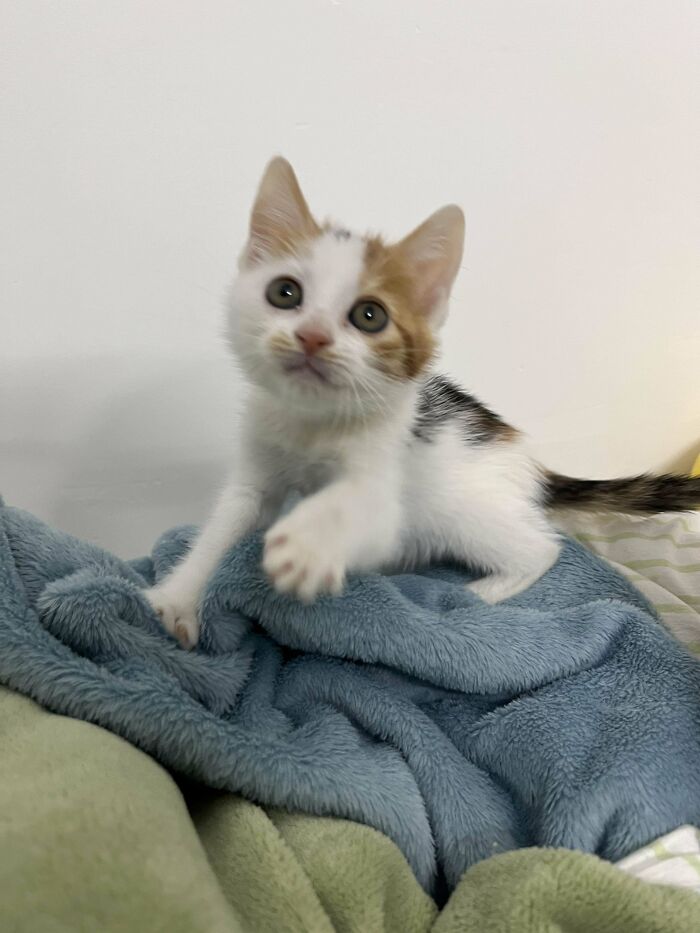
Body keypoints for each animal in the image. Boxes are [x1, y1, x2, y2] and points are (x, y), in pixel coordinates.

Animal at [145, 155, 696, 648]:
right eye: (284, 292)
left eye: (369, 316)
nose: (312, 337)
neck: (314, 423)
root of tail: (528, 461)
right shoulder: (258, 464)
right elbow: (225, 523)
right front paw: (178, 597)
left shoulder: (386, 481)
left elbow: (358, 508)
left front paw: (308, 545)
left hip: (467, 510)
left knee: (541, 548)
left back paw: (482, 592)